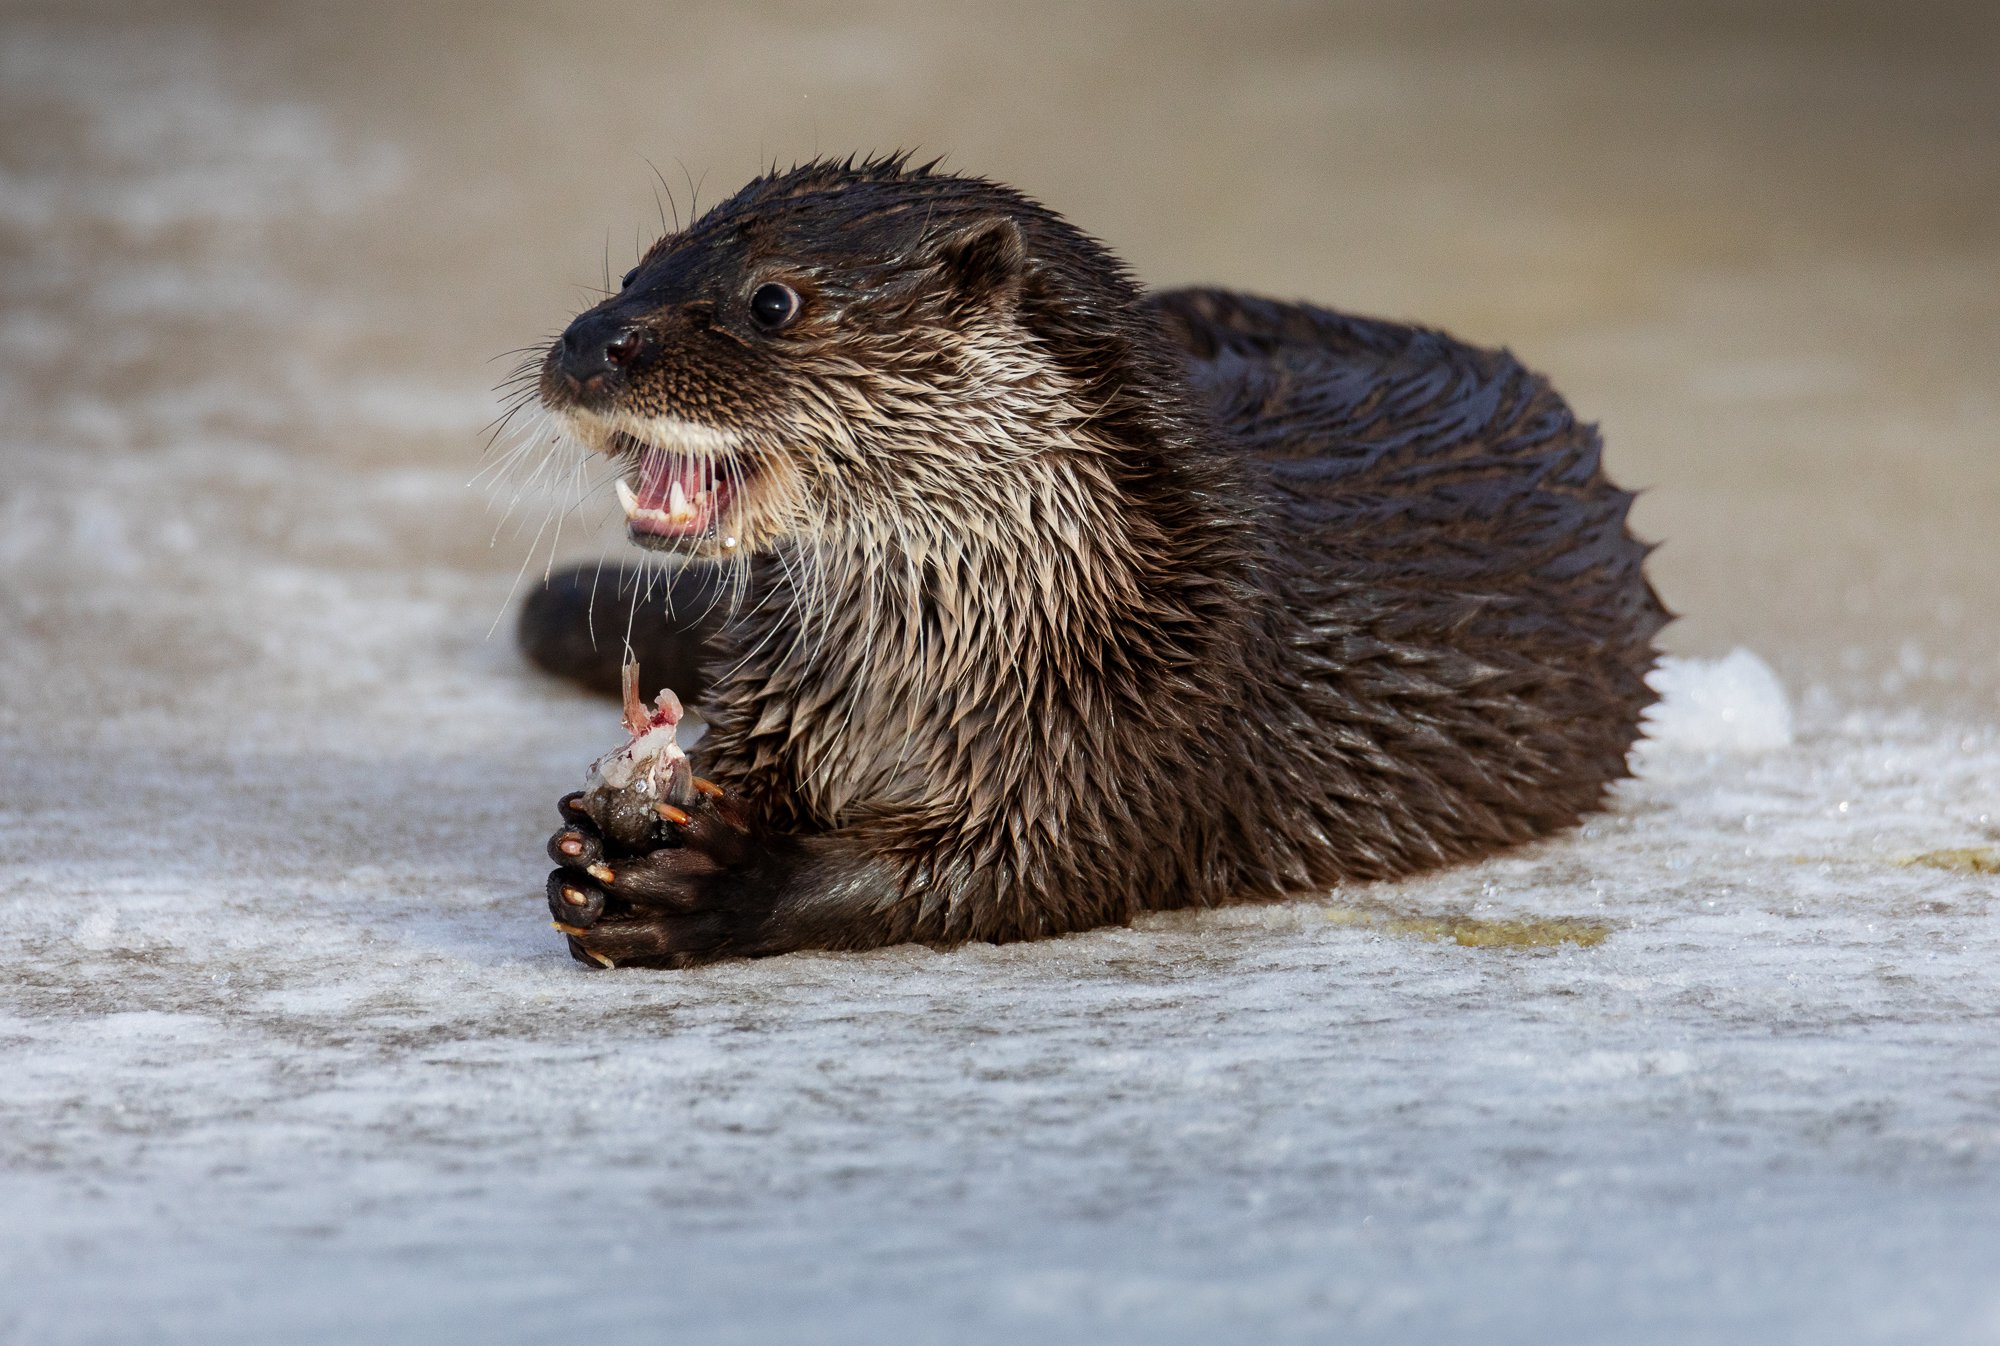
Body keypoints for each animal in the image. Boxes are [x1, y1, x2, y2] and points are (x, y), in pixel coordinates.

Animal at [520, 155, 1672, 968]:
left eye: (771, 301)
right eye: (637, 267)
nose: (587, 342)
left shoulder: (1148, 740)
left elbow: (996, 877)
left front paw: (711, 885)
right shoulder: (772, 697)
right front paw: (596, 838)